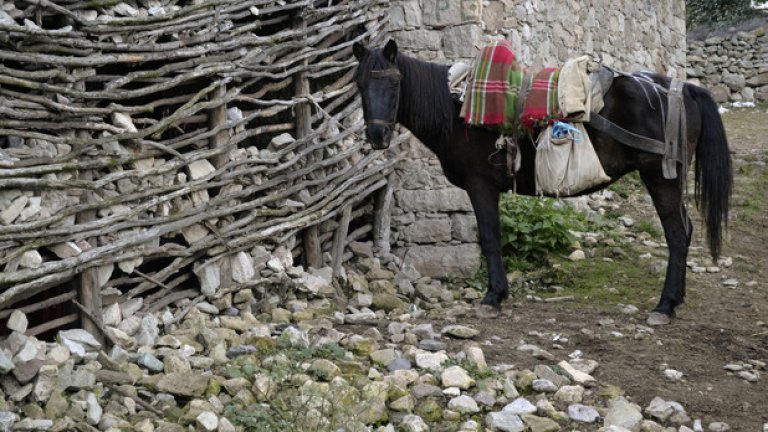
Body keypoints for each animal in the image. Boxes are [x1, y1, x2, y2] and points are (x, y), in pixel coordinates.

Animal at [354, 40, 732, 324]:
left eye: (395, 83)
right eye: (360, 84)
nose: (376, 136)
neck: (458, 108)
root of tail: (682, 89)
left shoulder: (480, 185)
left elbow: (489, 237)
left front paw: (493, 297)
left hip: (660, 176)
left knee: (677, 234)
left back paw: (665, 305)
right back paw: (674, 300)